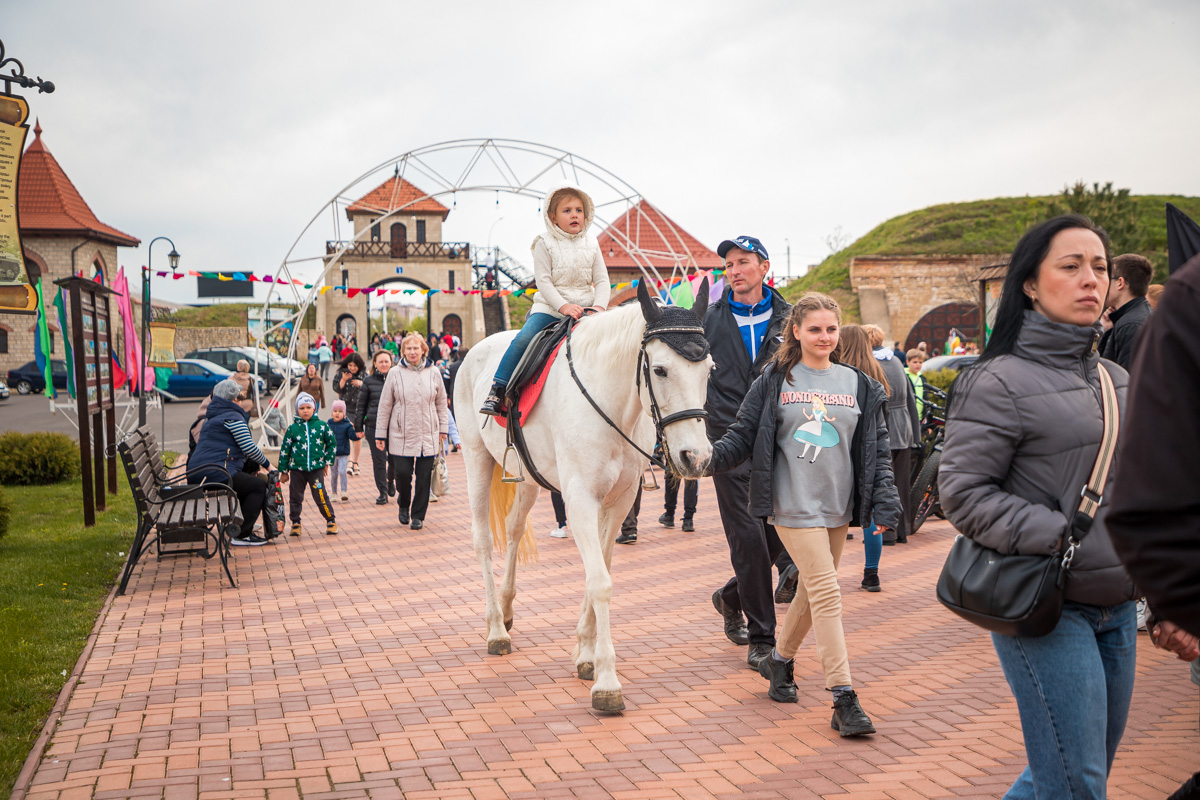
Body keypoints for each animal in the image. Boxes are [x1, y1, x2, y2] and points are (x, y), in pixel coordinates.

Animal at [455, 280, 714, 712]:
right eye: (660, 369)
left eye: (709, 370)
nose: (696, 457)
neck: (611, 404)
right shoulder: (579, 501)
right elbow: (600, 582)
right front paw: (607, 681)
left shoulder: (619, 501)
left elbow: (602, 569)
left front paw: (586, 654)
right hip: (476, 458)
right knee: (482, 541)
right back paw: (495, 629)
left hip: (528, 479)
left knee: (512, 530)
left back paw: (506, 610)